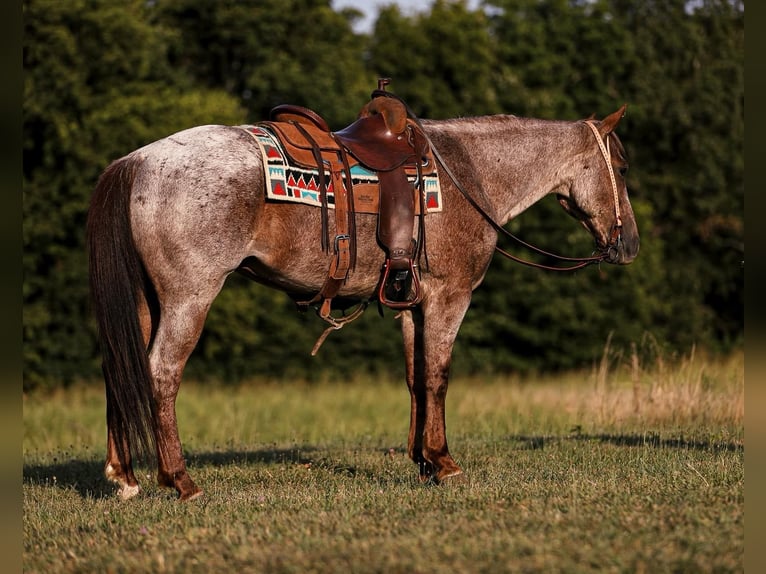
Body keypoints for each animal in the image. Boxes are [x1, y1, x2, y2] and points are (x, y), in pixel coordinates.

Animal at [86, 99, 639, 501]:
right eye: (622, 167)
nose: (629, 243)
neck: (470, 174)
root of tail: (137, 161)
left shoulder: (411, 304)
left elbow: (416, 379)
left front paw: (422, 462)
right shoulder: (449, 296)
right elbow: (438, 377)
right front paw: (444, 462)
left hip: (145, 302)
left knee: (123, 367)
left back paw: (124, 477)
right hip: (190, 297)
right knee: (160, 372)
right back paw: (180, 480)